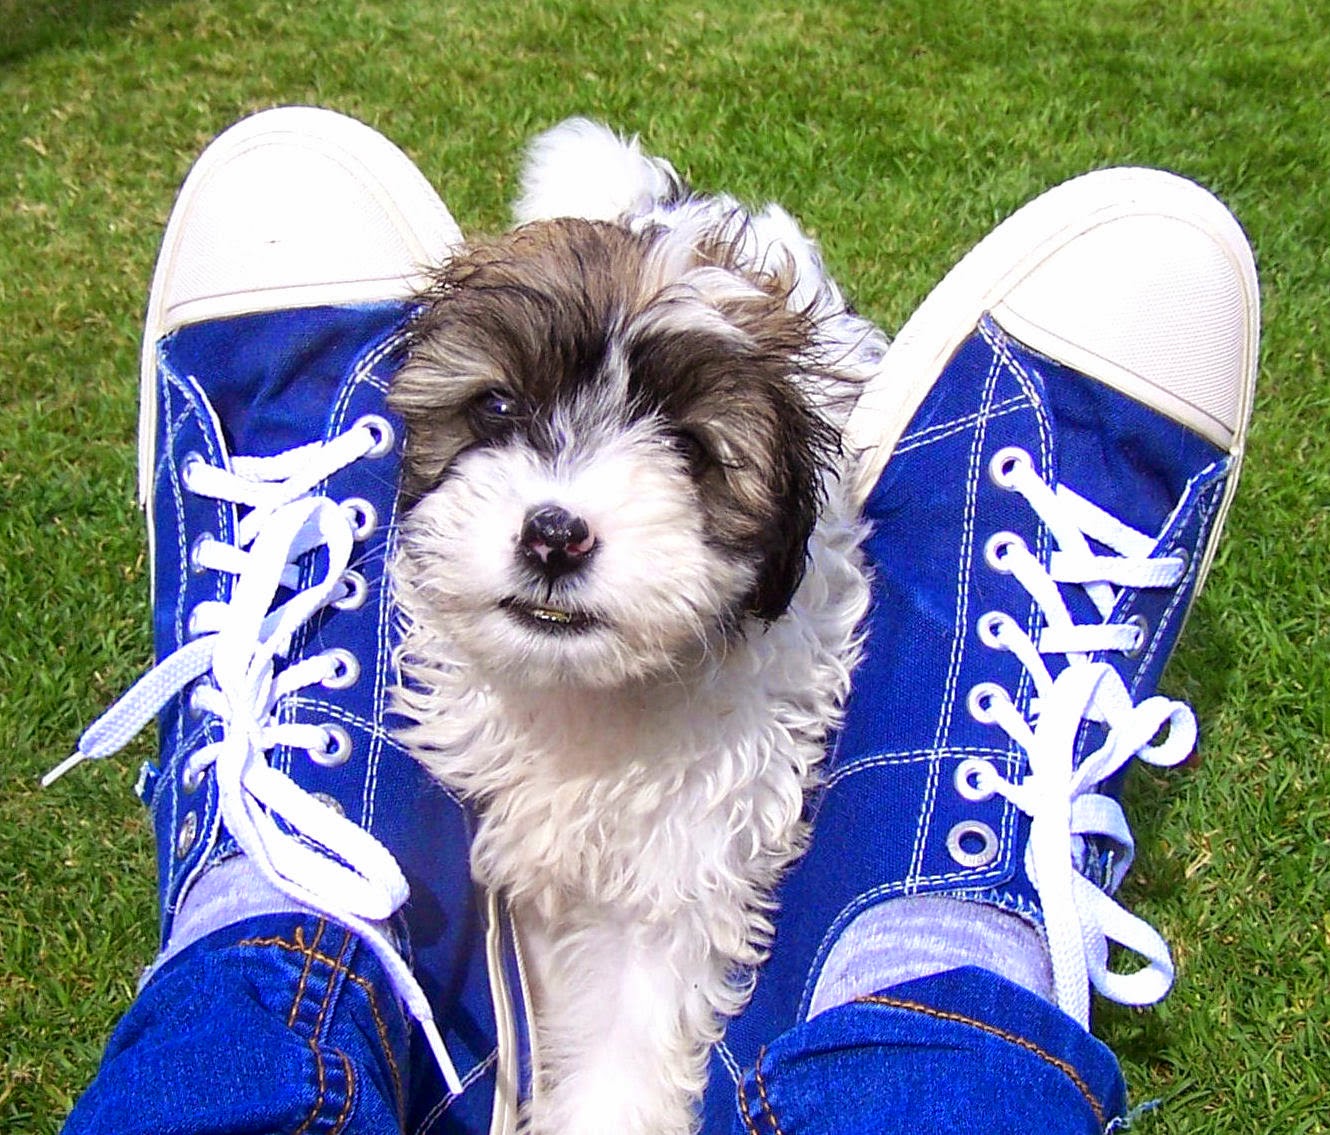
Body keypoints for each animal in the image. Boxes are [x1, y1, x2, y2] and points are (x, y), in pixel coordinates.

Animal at [389, 119, 883, 1135]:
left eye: (689, 449)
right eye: (496, 405)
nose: (554, 533)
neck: (587, 696)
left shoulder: (684, 860)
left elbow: (623, 1031)